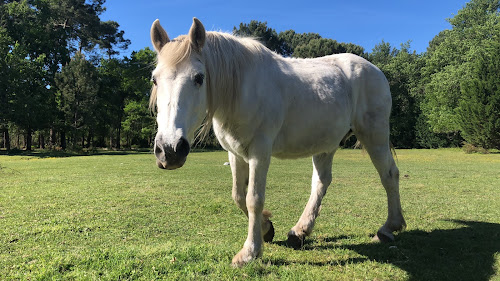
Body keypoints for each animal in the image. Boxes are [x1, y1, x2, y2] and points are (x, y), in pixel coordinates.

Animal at [149, 17, 406, 264]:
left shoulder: (260, 151)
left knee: (389, 174)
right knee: (321, 181)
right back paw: (300, 231)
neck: (242, 89)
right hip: (326, 144)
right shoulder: (235, 153)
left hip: (374, 134)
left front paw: (249, 253)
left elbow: (253, 198)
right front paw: (266, 229)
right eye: (154, 80)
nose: (169, 150)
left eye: (199, 78)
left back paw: (388, 228)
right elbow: (238, 195)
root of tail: (374, 69)